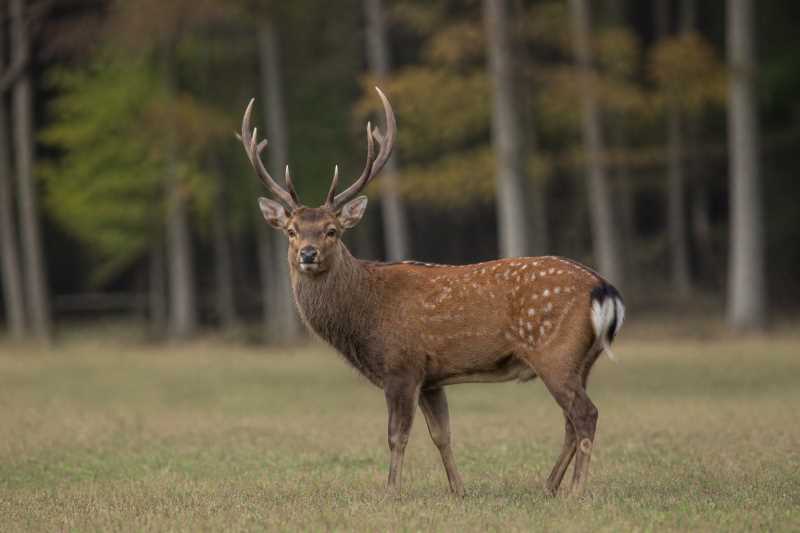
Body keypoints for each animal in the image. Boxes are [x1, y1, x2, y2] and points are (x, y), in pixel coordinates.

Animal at [238, 87, 624, 498]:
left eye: (332, 230)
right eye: (291, 231)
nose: (308, 254)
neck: (364, 314)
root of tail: (603, 288)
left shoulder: (402, 366)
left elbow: (397, 435)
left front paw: (391, 491)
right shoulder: (432, 377)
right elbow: (442, 435)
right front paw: (459, 489)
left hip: (555, 353)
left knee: (585, 414)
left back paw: (576, 489)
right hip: (582, 360)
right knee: (571, 419)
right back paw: (549, 485)